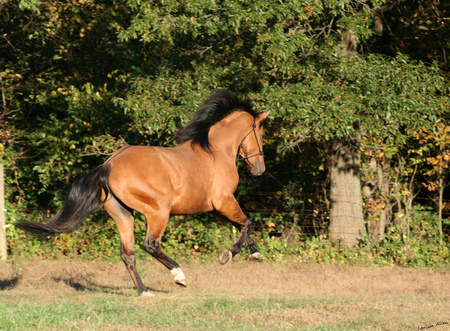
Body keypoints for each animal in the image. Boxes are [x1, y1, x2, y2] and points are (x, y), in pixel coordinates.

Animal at [16, 89, 270, 296]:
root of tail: (109, 164)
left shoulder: (214, 208)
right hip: (158, 213)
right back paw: (179, 276)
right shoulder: (224, 201)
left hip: (122, 214)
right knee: (150, 245)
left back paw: (144, 291)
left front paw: (255, 253)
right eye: (262, 134)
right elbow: (246, 222)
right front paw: (230, 254)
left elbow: (242, 225)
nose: (260, 169)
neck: (217, 151)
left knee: (128, 253)